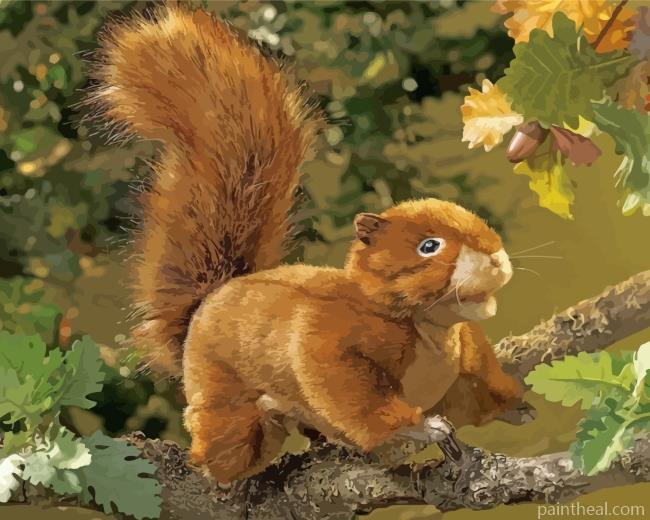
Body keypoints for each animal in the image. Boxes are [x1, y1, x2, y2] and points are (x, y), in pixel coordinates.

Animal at [89, 5, 523, 483]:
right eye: (429, 246)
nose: (496, 258)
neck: (431, 330)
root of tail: (205, 304)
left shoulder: (468, 357)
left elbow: (478, 390)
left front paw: (516, 405)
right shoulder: (330, 337)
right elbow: (348, 392)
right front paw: (419, 428)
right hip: (220, 397)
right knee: (225, 447)